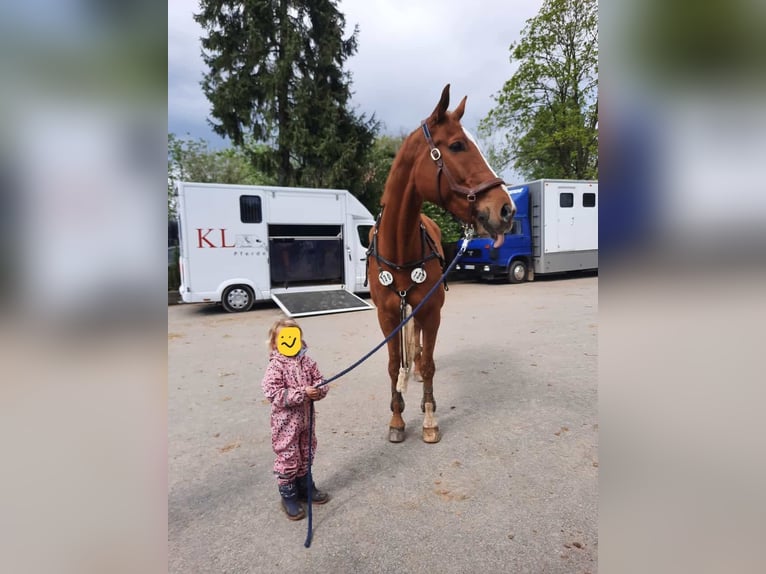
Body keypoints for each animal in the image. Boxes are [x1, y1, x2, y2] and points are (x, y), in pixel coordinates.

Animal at [368, 84, 520, 446]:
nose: (506, 209)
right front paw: (396, 419)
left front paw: (429, 418)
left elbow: (428, 366)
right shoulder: (387, 317)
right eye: (457, 145)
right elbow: (393, 365)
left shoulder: (432, 311)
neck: (400, 250)